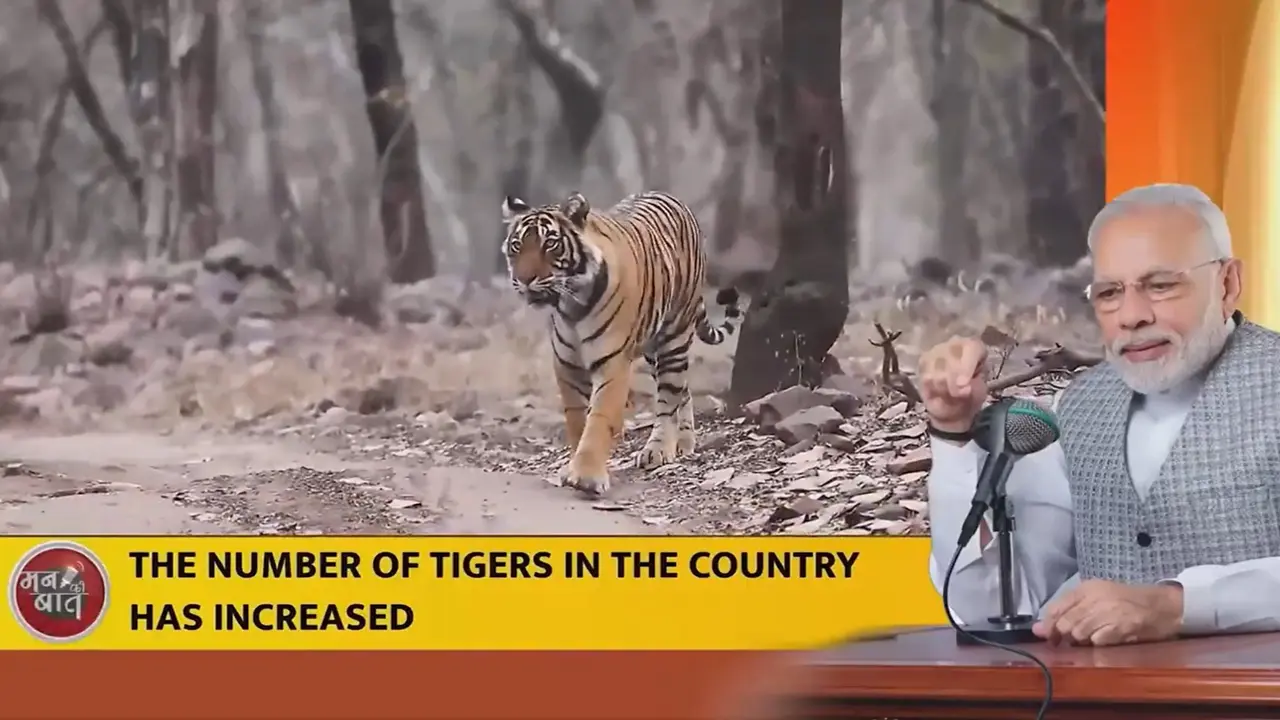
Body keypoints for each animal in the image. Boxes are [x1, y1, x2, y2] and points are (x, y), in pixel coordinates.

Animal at [501, 190, 745, 495]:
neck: (572, 305)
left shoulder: (613, 363)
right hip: (653, 348)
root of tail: (670, 197)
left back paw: (659, 450)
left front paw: (587, 476)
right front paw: (573, 466)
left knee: (669, 398)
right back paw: (685, 442)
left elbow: (599, 419)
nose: (523, 280)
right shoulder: (567, 366)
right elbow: (577, 419)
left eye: (550, 244)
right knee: (683, 390)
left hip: (674, 337)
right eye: (517, 246)